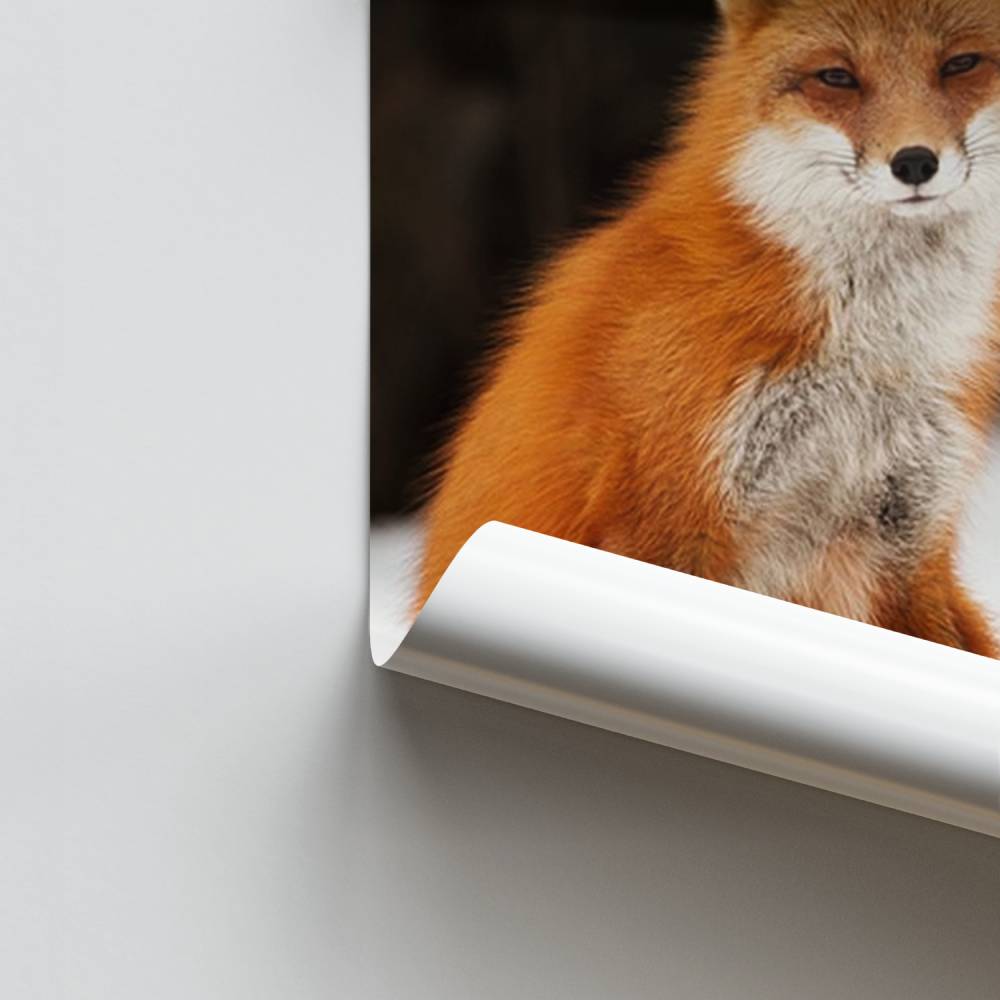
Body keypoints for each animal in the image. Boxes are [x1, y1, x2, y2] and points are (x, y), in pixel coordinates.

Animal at [416, 0, 1000, 658]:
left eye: (961, 64)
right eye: (837, 77)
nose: (915, 162)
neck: (868, 360)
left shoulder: (908, 542)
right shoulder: (670, 518)